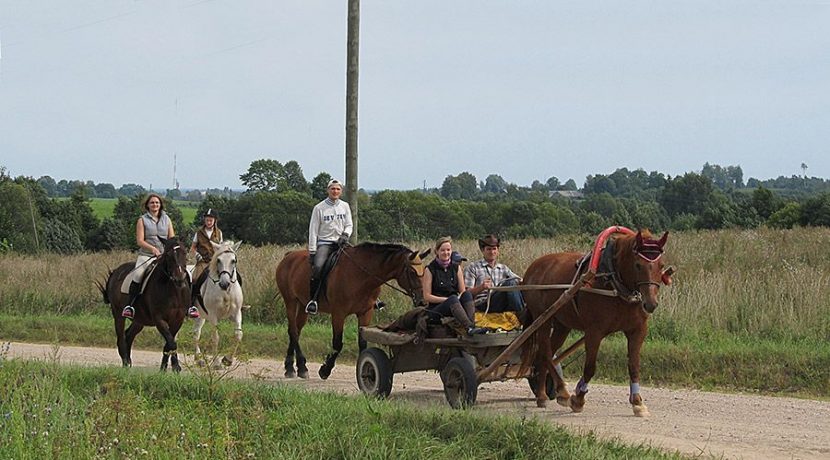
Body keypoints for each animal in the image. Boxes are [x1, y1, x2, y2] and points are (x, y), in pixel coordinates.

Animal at [101, 239, 192, 372]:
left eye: (185, 253)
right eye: (168, 255)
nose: (179, 278)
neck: (173, 289)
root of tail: (115, 272)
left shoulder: (178, 319)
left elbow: (169, 343)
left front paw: (166, 368)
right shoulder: (159, 319)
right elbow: (171, 343)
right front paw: (173, 368)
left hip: (139, 320)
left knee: (129, 335)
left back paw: (128, 362)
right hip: (118, 314)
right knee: (121, 337)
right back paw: (125, 363)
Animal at [278, 243, 428, 380]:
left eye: (424, 271)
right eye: (412, 272)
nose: (422, 301)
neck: (360, 275)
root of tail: (289, 255)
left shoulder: (365, 313)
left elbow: (363, 342)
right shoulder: (338, 314)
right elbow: (337, 344)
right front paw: (325, 370)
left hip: (303, 305)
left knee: (296, 331)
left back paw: (293, 367)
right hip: (290, 302)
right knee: (293, 331)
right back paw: (299, 368)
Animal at [528, 228, 668, 416]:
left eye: (661, 265)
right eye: (638, 265)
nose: (651, 303)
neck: (613, 282)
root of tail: (532, 268)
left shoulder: (637, 330)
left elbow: (634, 365)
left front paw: (637, 402)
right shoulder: (594, 332)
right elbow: (590, 367)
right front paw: (578, 399)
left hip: (562, 325)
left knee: (548, 351)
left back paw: (543, 393)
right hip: (542, 319)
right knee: (545, 352)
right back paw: (560, 392)